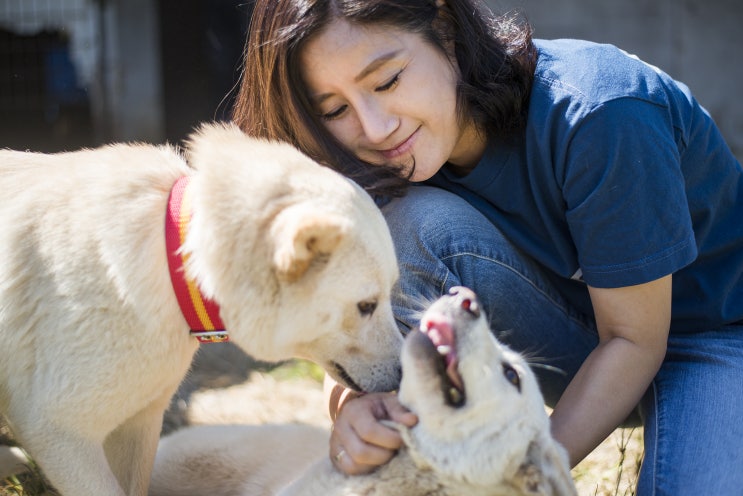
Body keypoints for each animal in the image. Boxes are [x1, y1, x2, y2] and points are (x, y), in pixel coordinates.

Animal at [0, 121, 404, 496]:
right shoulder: (56, 429)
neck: (175, 261)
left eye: (390, 294)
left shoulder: (139, 419)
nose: (403, 376)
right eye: (367, 305)